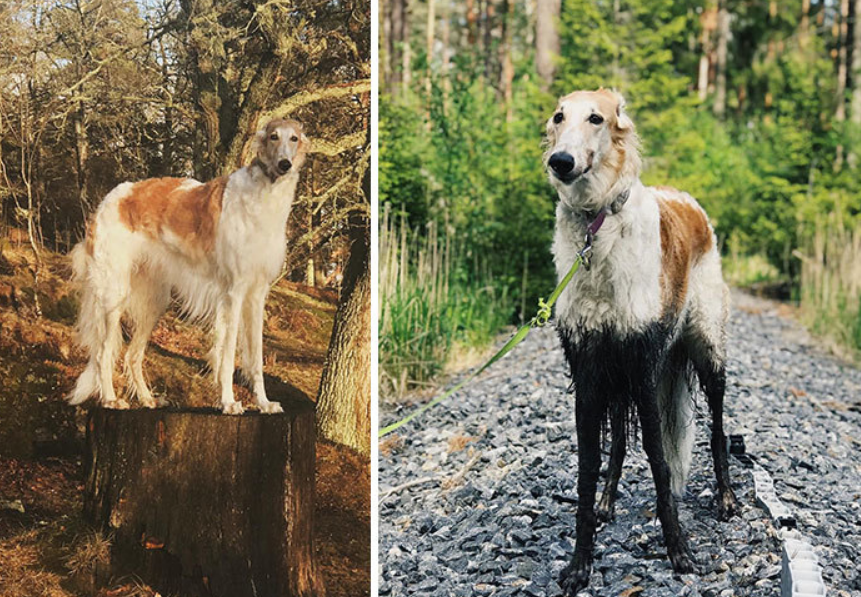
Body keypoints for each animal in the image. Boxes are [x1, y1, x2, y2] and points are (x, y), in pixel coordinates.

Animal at [69, 118, 310, 412]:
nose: (285, 164)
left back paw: (148, 398)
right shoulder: (234, 292)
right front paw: (229, 402)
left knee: (132, 355)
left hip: (155, 301)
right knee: (103, 353)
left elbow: (256, 359)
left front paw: (264, 403)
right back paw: (110, 398)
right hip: (114, 294)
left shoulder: (257, 293)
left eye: (294, 138)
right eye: (273, 136)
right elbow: (227, 356)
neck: (264, 196)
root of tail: (109, 197)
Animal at [544, 88, 740, 592]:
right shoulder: (589, 372)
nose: (560, 161)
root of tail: (687, 200)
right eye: (558, 117)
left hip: (707, 350)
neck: (597, 228)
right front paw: (580, 562)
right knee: (616, 444)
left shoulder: (644, 367)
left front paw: (679, 550)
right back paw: (607, 504)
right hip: (618, 378)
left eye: (596, 118)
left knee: (717, 430)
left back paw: (727, 498)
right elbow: (588, 467)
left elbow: (659, 459)